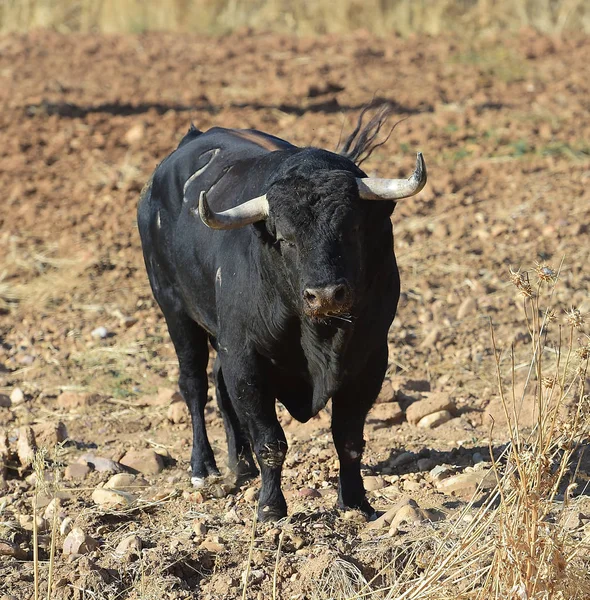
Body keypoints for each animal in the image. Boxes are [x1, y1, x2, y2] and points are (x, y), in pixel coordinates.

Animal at [137, 118, 428, 520]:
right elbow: (270, 441)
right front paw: (271, 507)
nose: (326, 294)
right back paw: (203, 468)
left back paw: (240, 464)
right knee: (194, 385)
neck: (318, 335)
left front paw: (356, 502)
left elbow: (349, 438)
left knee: (219, 387)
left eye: (352, 228)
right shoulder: (246, 361)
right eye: (286, 238)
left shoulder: (369, 360)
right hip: (175, 311)